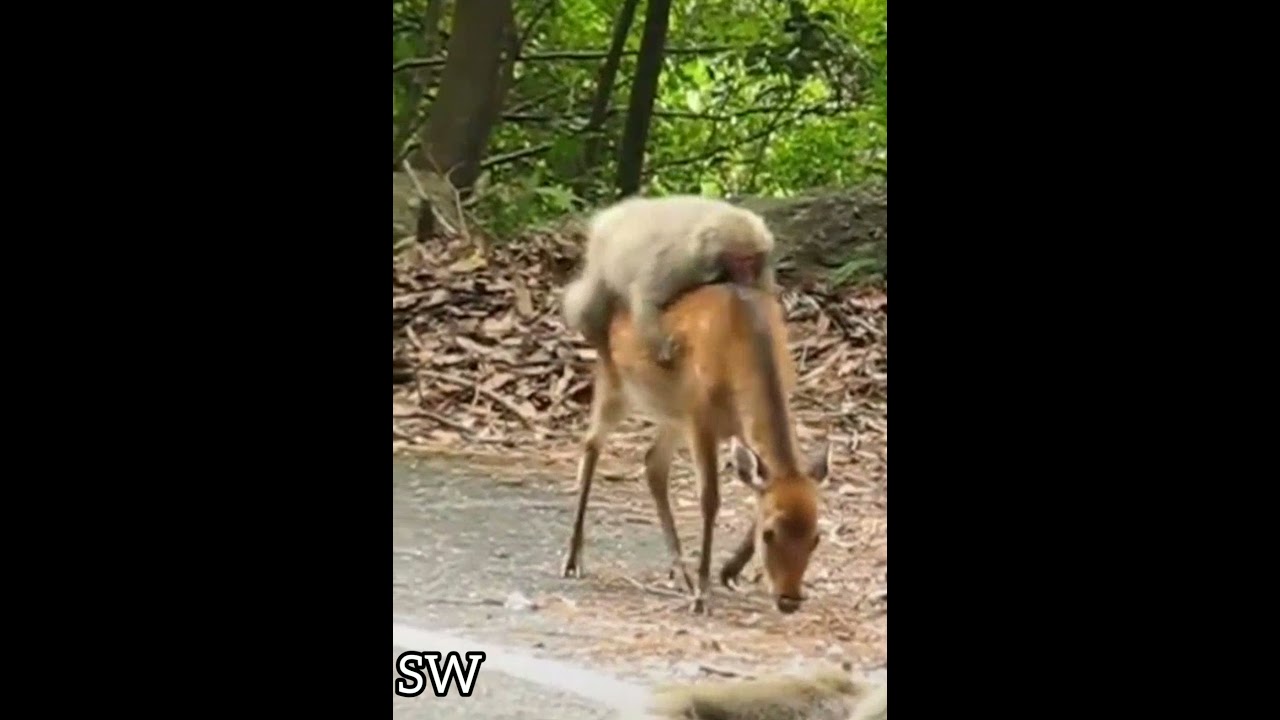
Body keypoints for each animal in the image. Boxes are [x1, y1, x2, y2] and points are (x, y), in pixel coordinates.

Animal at [560, 195, 778, 366]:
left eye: (753, 259)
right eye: (740, 260)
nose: (747, 277)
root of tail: (609, 215)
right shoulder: (679, 262)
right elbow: (647, 296)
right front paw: (660, 345)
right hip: (600, 253)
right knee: (592, 298)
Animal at [560, 282, 831, 615]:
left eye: (816, 537)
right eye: (768, 534)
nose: (789, 600)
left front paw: (727, 573)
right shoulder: (701, 419)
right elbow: (710, 499)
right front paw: (703, 594)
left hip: (673, 416)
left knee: (653, 463)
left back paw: (680, 574)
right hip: (616, 384)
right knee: (592, 445)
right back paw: (573, 560)